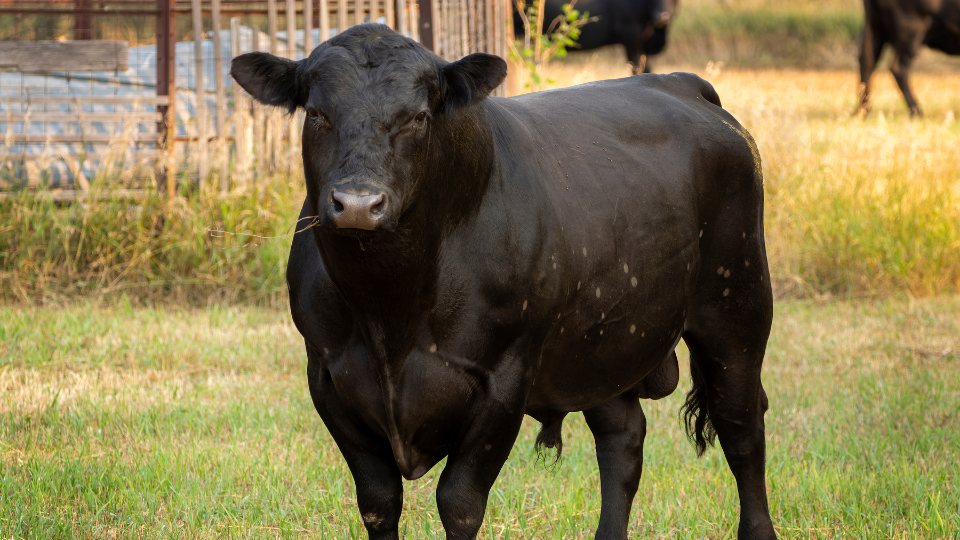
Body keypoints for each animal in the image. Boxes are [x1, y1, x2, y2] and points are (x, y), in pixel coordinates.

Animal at [231, 23, 776, 540]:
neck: (390, 310)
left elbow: (459, 503)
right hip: (601, 344)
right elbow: (379, 501)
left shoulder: (503, 378)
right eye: (316, 114)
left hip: (737, 313)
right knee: (622, 439)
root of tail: (680, 82)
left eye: (418, 117)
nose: (359, 204)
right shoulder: (327, 376)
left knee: (742, 430)